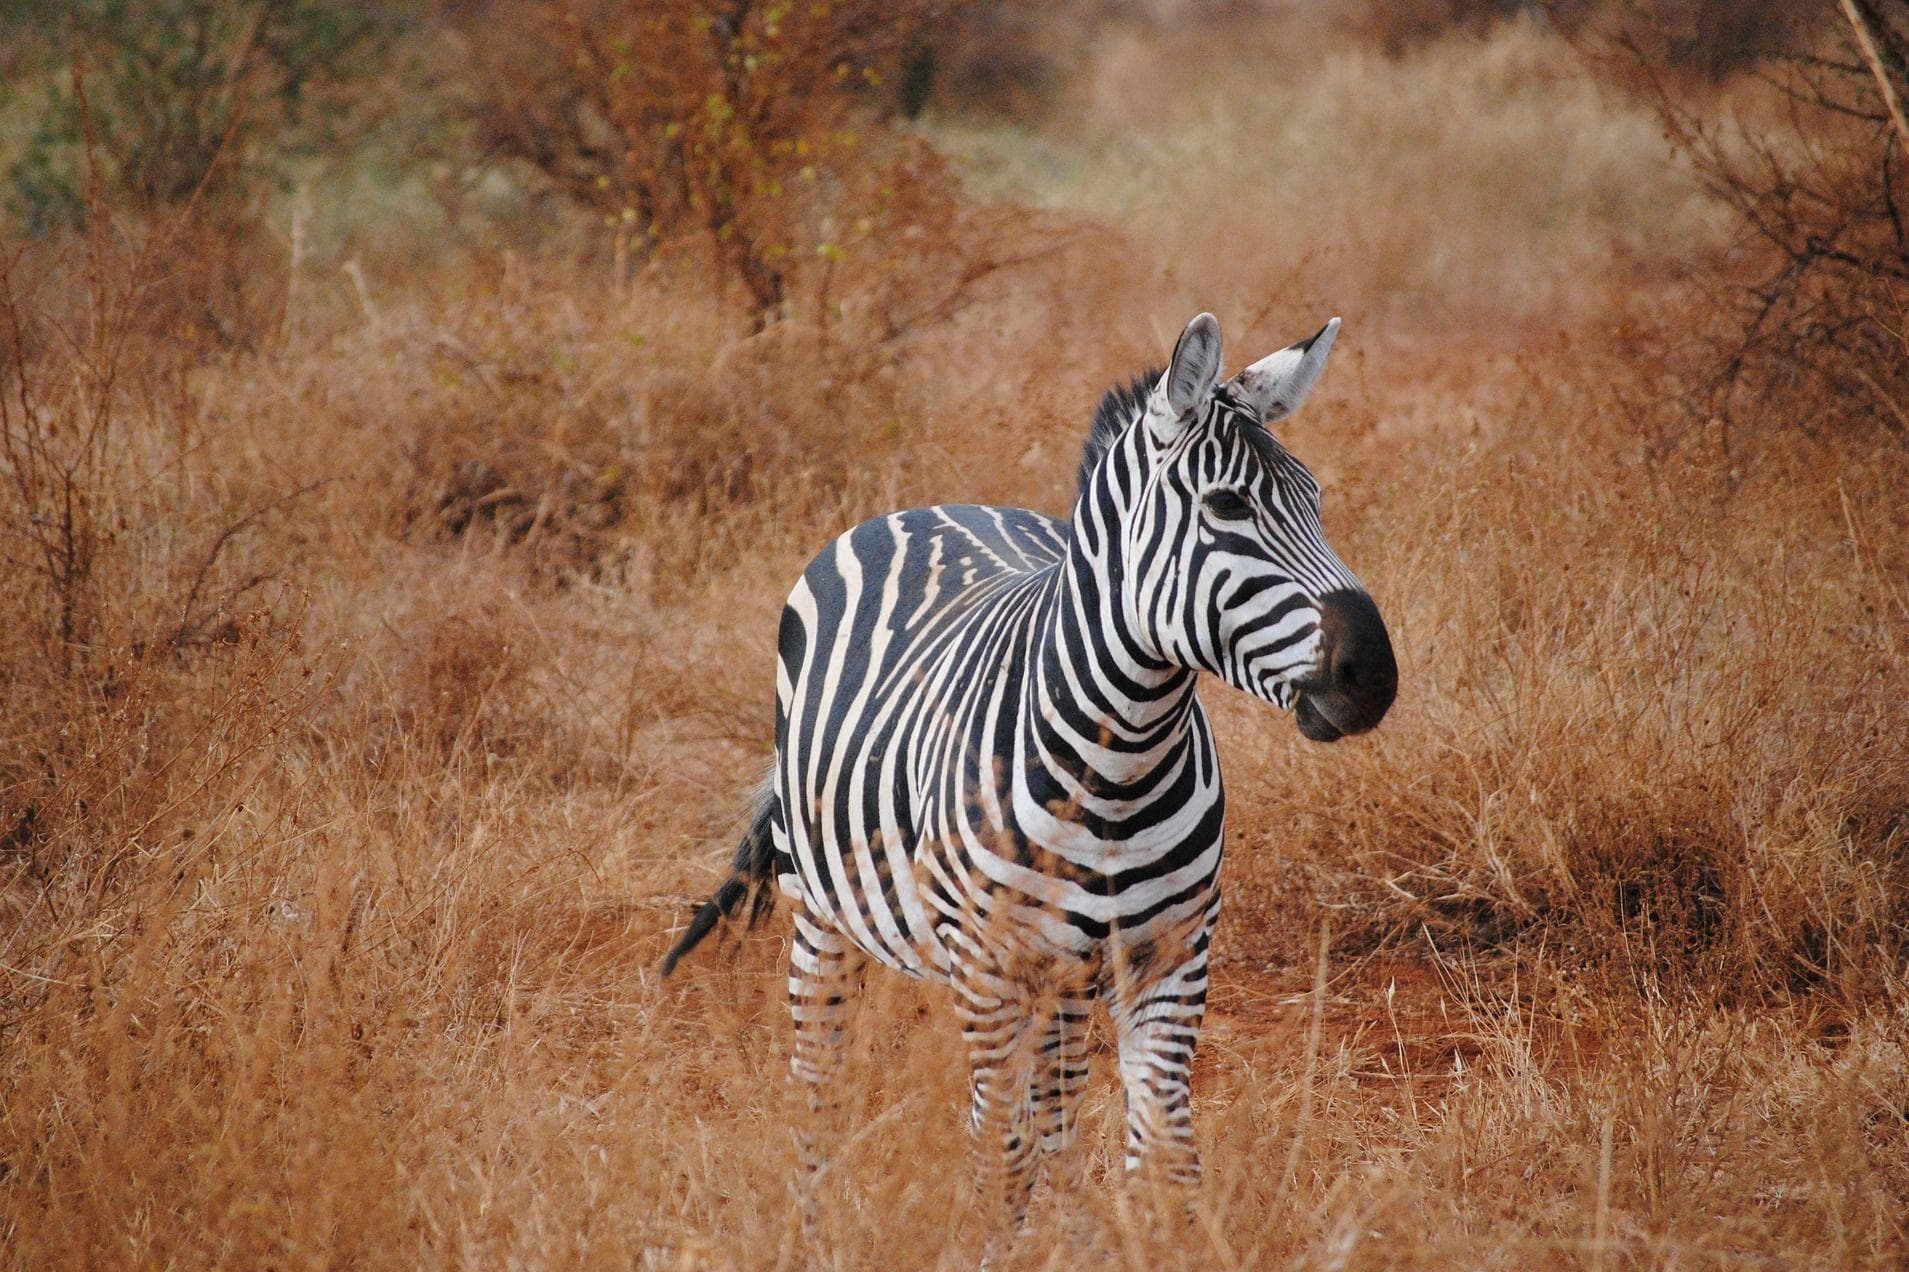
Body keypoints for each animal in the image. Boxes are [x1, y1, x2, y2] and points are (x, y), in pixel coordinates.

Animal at [663, 312, 1397, 1241]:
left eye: (1315, 502)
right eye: (1227, 506)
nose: (1373, 675)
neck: (1120, 764)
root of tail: (930, 506)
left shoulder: (1171, 956)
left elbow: (1164, 1153)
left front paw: (1132, 1241)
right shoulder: (988, 969)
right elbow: (997, 1154)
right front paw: (998, 1245)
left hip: (1067, 975)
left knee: (1057, 1107)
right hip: (824, 914)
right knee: (820, 1082)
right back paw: (815, 1222)